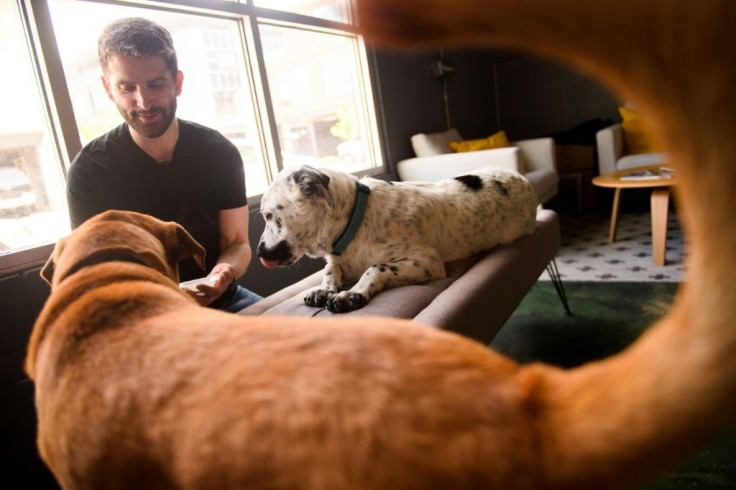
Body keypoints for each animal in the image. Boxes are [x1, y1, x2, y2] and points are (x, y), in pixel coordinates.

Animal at [256, 164, 536, 310]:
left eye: (268, 215)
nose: (258, 253)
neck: (356, 221)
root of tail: (522, 178)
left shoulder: (428, 261)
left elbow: (375, 267)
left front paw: (351, 293)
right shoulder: (338, 260)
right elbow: (330, 270)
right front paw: (324, 289)